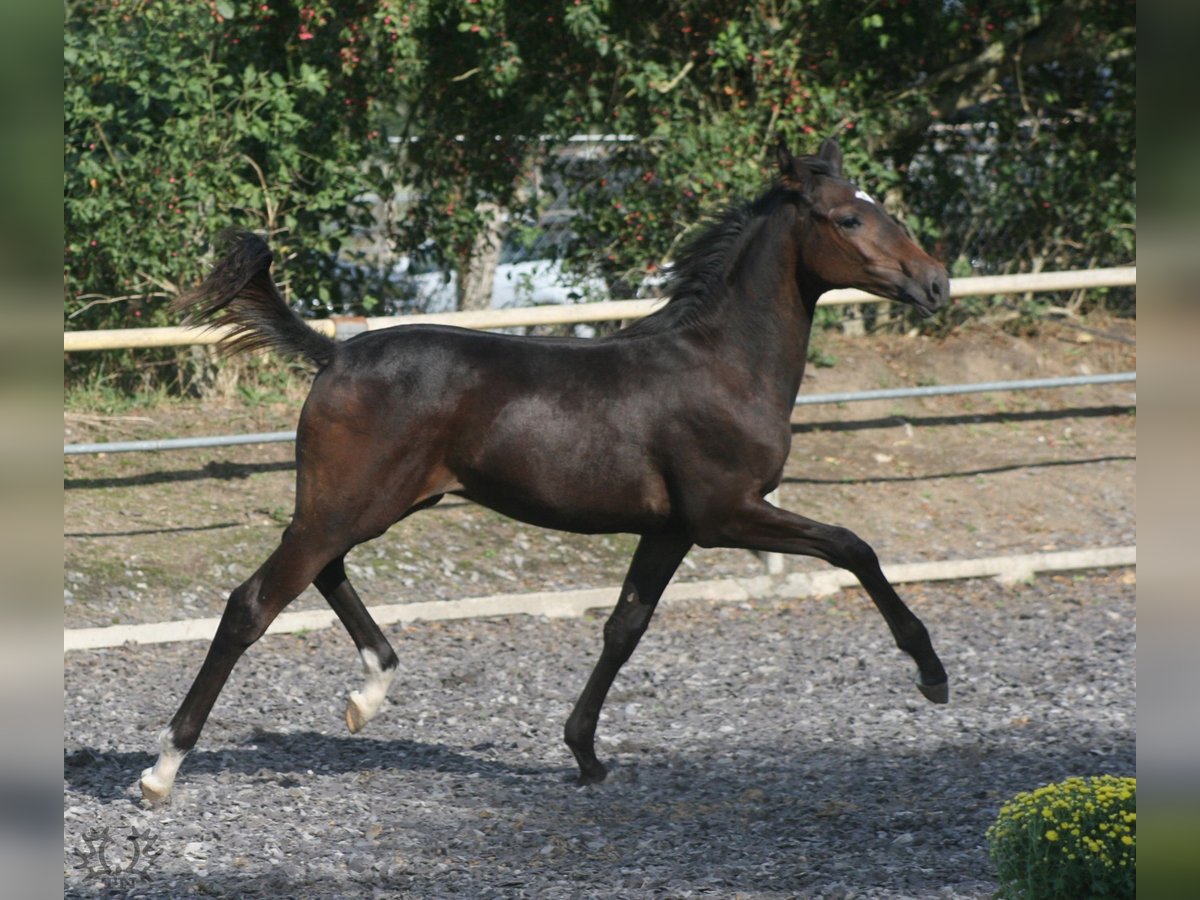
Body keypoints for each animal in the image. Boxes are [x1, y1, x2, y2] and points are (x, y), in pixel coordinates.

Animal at [138, 135, 945, 801]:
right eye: (848, 219)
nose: (935, 283)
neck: (721, 363)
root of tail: (334, 352)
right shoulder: (727, 514)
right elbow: (853, 547)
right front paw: (931, 673)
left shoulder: (671, 528)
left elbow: (624, 626)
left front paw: (585, 754)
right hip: (349, 503)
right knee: (254, 602)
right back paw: (162, 770)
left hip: (368, 503)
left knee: (323, 572)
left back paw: (369, 692)